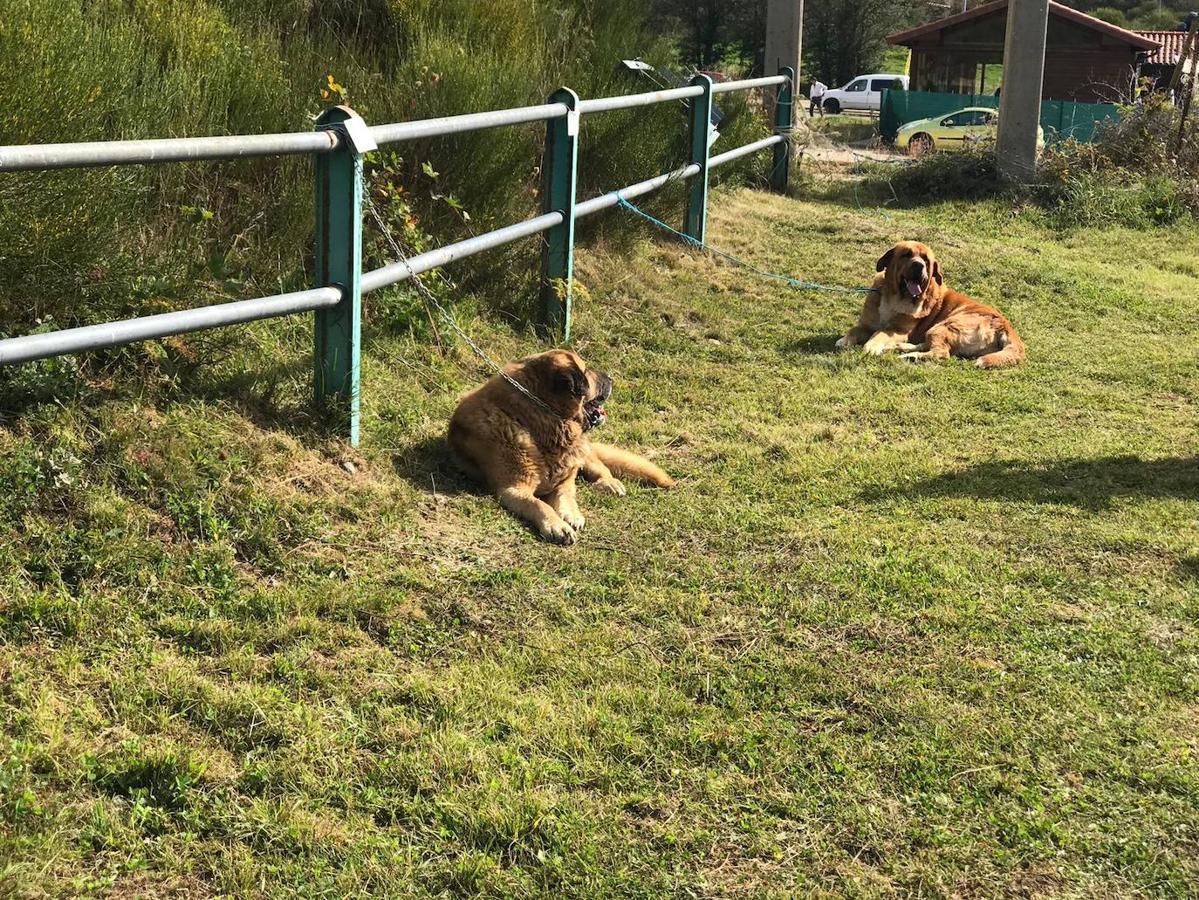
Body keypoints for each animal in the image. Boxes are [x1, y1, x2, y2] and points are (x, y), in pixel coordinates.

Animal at [448, 349, 676, 546]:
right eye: (586, 372)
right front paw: (557, 525)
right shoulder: (512, 489)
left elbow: (566, 496)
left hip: (584, 454)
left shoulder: (565, 480)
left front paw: (571, 515)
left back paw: (609, 483)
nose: (611, 377)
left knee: (601, 469)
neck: (535, 420)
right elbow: (539, 503)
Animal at [839, 240, 1026, 371]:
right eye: (906, 254)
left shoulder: (898, 330)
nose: (919, 265)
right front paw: (845, 340)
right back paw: (901, 349)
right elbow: (854, 329)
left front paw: (871, 347)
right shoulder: (866, 323)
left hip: (945, 325)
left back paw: (910, 356)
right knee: (930, 346)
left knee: (941, 353)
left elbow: (879, 333)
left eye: (926, 260)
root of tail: (1005, 325)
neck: (895, 297)